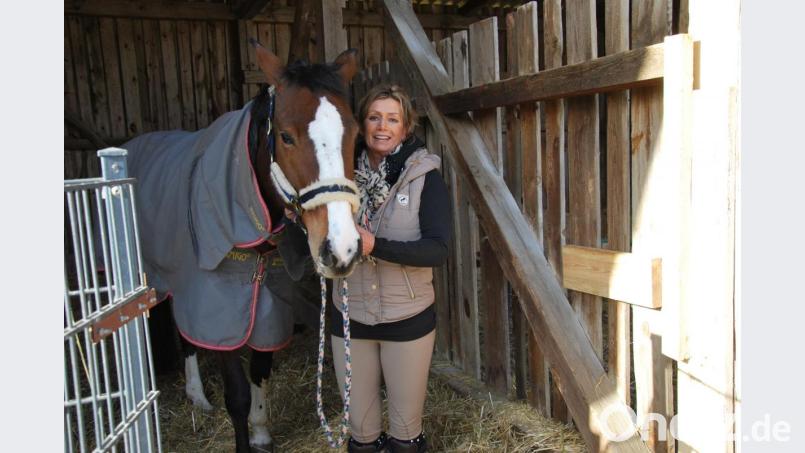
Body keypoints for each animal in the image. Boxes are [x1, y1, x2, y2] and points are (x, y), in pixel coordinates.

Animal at [124, 41, 362, 452]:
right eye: (286, 136)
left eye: (354, 132)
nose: (341, 248)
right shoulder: (221, 306)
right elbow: (236, 393)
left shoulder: (267, 303)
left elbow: (261, 371)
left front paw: (261, 430)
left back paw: (196, 395)